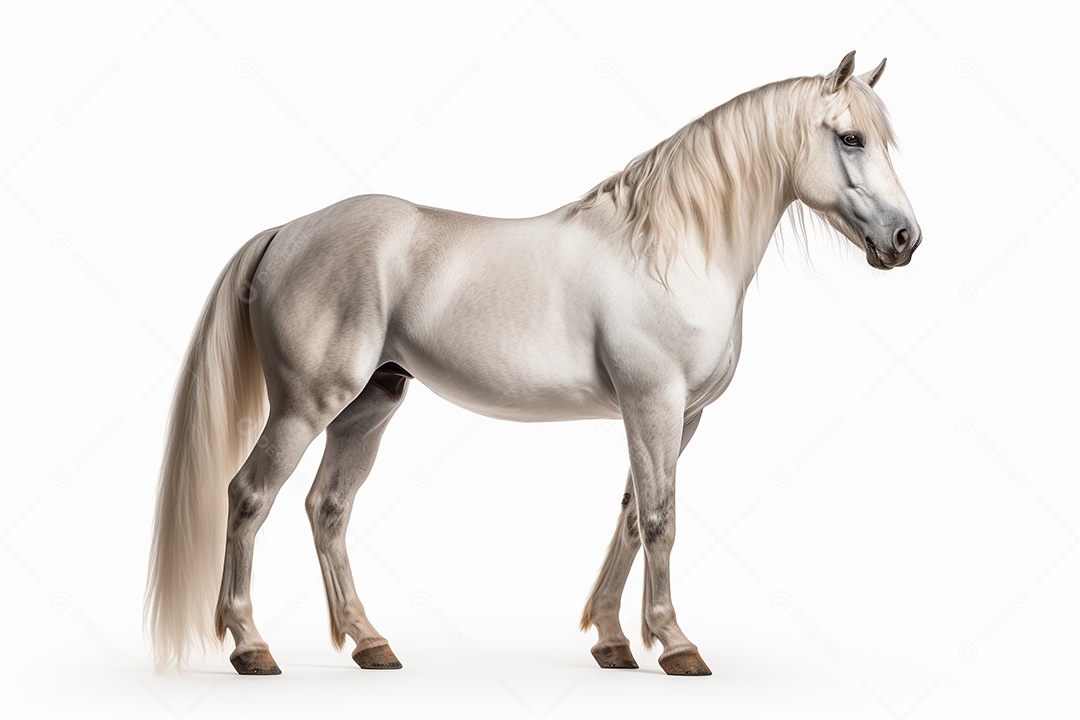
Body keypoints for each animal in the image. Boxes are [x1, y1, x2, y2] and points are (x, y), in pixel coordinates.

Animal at [146, 51, 920, 677]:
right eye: (850, 137)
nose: (906, 239)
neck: (671, 251)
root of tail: (289, 231)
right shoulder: (654, 403)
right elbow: (662, 518)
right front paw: (675, 645)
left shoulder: (683, 416)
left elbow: (632, 517)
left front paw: (612, 641)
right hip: (305, 406)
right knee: (249, 496)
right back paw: (251, 647)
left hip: (369, 406)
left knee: (327, 509)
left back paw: (371, 643)